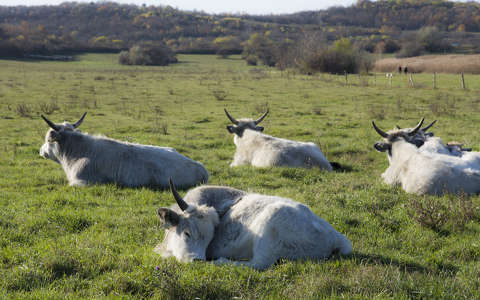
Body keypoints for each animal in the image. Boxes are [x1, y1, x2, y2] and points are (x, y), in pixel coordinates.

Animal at [155, 178, 352, 270]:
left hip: (269, 232)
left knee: (257, 264)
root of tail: (336, 237)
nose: (197, 260)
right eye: (187, 233)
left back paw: (221, 261)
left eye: (209, 239)